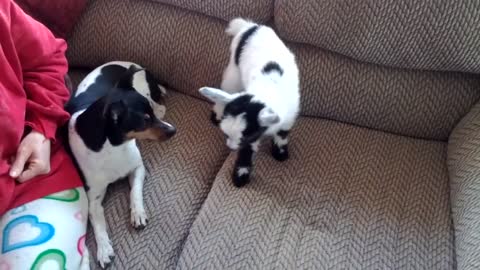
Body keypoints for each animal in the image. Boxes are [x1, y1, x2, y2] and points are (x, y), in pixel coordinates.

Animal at [65, 61, 174, 268]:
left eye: (149, 118)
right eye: (144, 121)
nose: (174, 130)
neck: (114, 147)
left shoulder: (137, 168)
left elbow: (135, 192)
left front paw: (137, 213)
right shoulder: (94, 199)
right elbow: (98, 223)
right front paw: (103, 249)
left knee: (160, 105)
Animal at [199, 17, 300, 188]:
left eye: (244, 137)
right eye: (226, 134)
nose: (230, 147)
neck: (266, 89)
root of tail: (251, 27)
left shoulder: (288, 117)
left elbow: (282, 135)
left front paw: (280, 153)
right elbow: (247, 152)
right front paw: (241, 175)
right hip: (234, 70)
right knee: (227, 87)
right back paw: (217, 113)